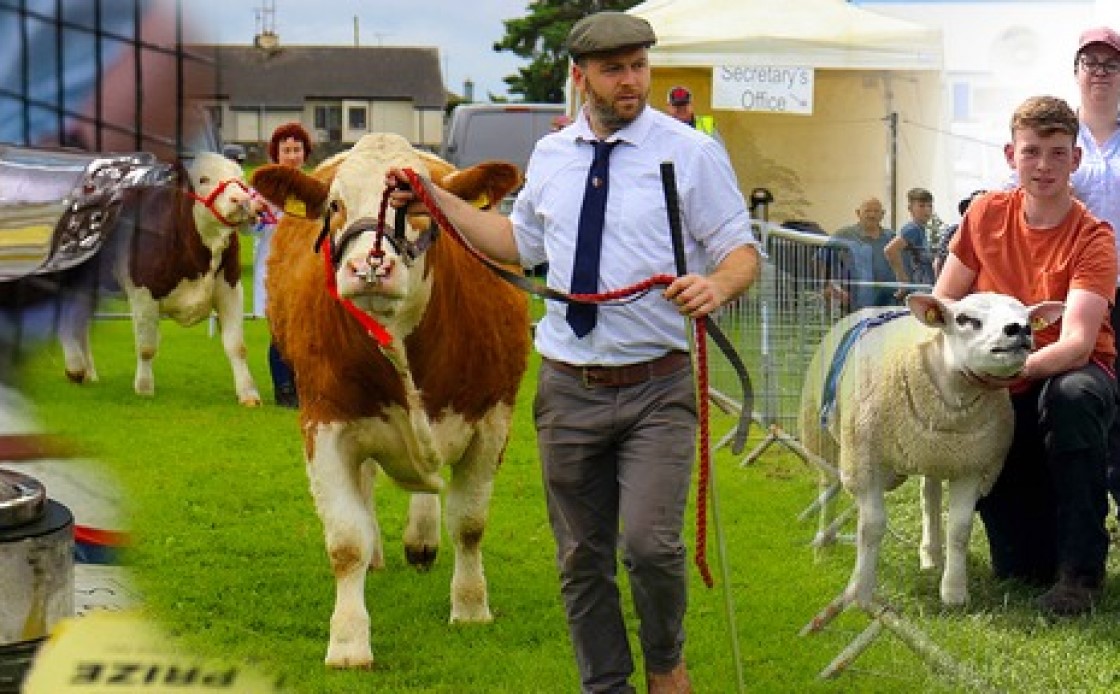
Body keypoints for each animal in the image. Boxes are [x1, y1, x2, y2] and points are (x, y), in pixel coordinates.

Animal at [61, 148, 262, 402]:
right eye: (203, 179)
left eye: (241, 177)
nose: (242, 200)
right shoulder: (143, 292)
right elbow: (146, 346)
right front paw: (144, 387)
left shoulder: (231, 288)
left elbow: (237, 346)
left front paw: (248, 393)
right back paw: (75, 367)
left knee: (80, 323)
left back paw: (88, 372)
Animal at [252, 132, 530, 671]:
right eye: (334, 205)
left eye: (418, 206)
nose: (369, 265)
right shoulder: (325, 422)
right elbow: (346, 540)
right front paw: (348, 642)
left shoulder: (493, 420)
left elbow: (469, 523)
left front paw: (471, 607)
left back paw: (421, 540)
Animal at [801, 293, 1061, 608]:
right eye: (964, 319)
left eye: (1027, 316)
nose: (1020, 329)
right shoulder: (865, 461)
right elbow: (871, 526)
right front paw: (860, 594)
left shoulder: (971, 464)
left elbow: (960, 529)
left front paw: (954, 593)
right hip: (821, 435)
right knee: (829, 486)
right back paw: (823, 545)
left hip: (933, 452)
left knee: (930, 495)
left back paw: (932, 554)